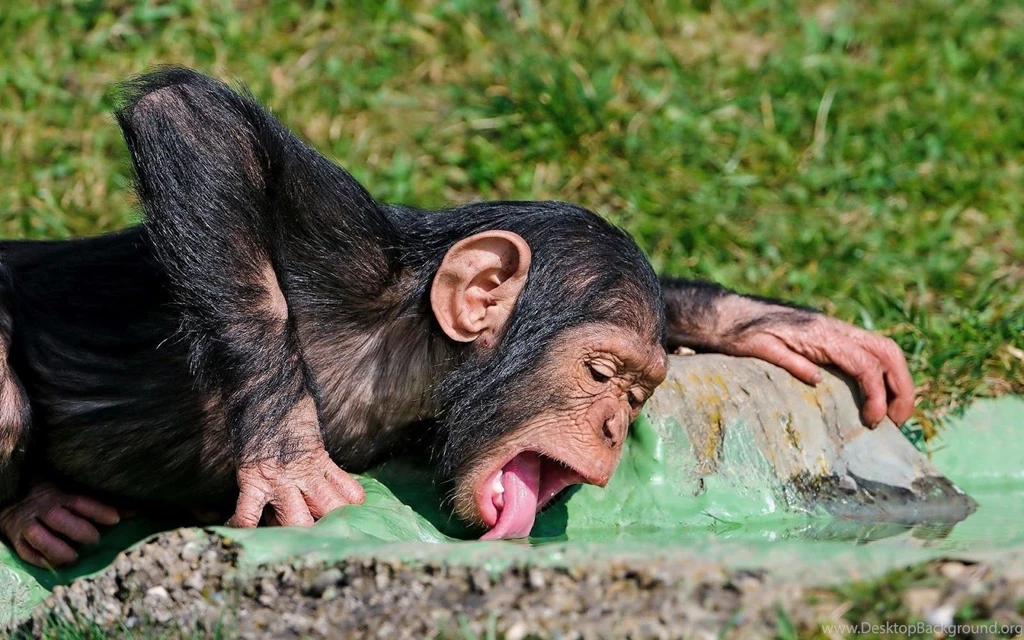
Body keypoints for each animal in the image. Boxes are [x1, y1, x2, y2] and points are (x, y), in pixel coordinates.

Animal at [0, 68, 914, 568]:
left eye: (640, 394)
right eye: (602, 373)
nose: (616, 425)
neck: (412, 356)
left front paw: (773, 322)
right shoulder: (345, 253)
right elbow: (194, 123)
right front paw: (291, 458)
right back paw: (33, 509)